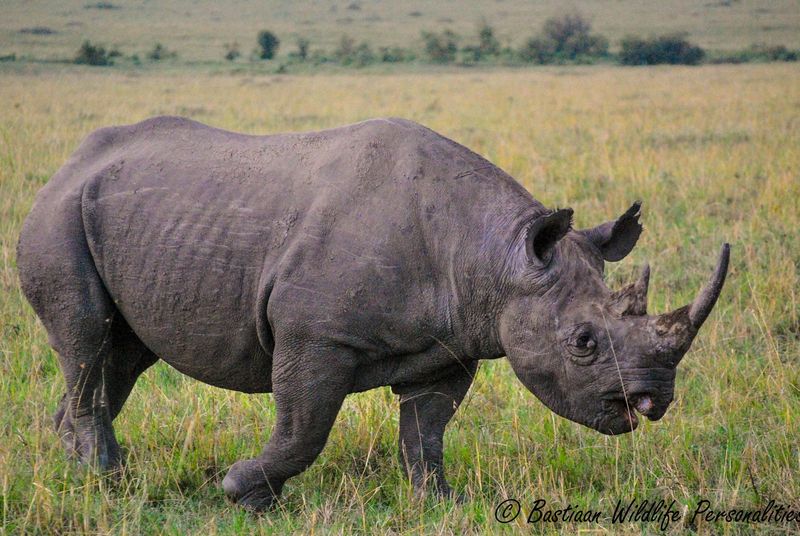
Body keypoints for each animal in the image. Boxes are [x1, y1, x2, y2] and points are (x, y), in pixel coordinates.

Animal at [17, 116, 729, 511]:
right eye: (582, 341)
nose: (652, 402)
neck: (495, 257)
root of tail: (68, 163)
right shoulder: (316, 333)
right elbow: (303, 427)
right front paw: (245, 495)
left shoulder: (451, 345)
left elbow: (426, 432)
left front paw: (440, 504)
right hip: (57, 215)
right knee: (87, 338)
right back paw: (108, 481)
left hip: (131, 219)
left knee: (121, 353)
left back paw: (80, 470)